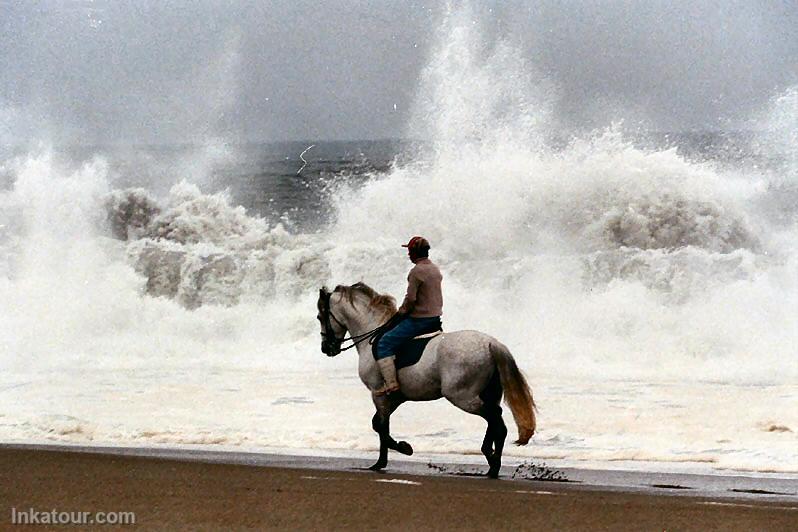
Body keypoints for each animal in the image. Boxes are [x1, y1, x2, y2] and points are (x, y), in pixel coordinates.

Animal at [318, 282, 536, 478]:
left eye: (320, 316)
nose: (326, 348)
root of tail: (491, 344)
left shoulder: (378, 393)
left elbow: (379, 426)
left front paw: (402, 449)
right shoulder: (394, 398)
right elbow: (380, 424)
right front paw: (381, 462)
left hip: (462, 396)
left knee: (495, 418)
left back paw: (491, 461)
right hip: (486, 394)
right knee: (497, 421)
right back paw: (492, 462)